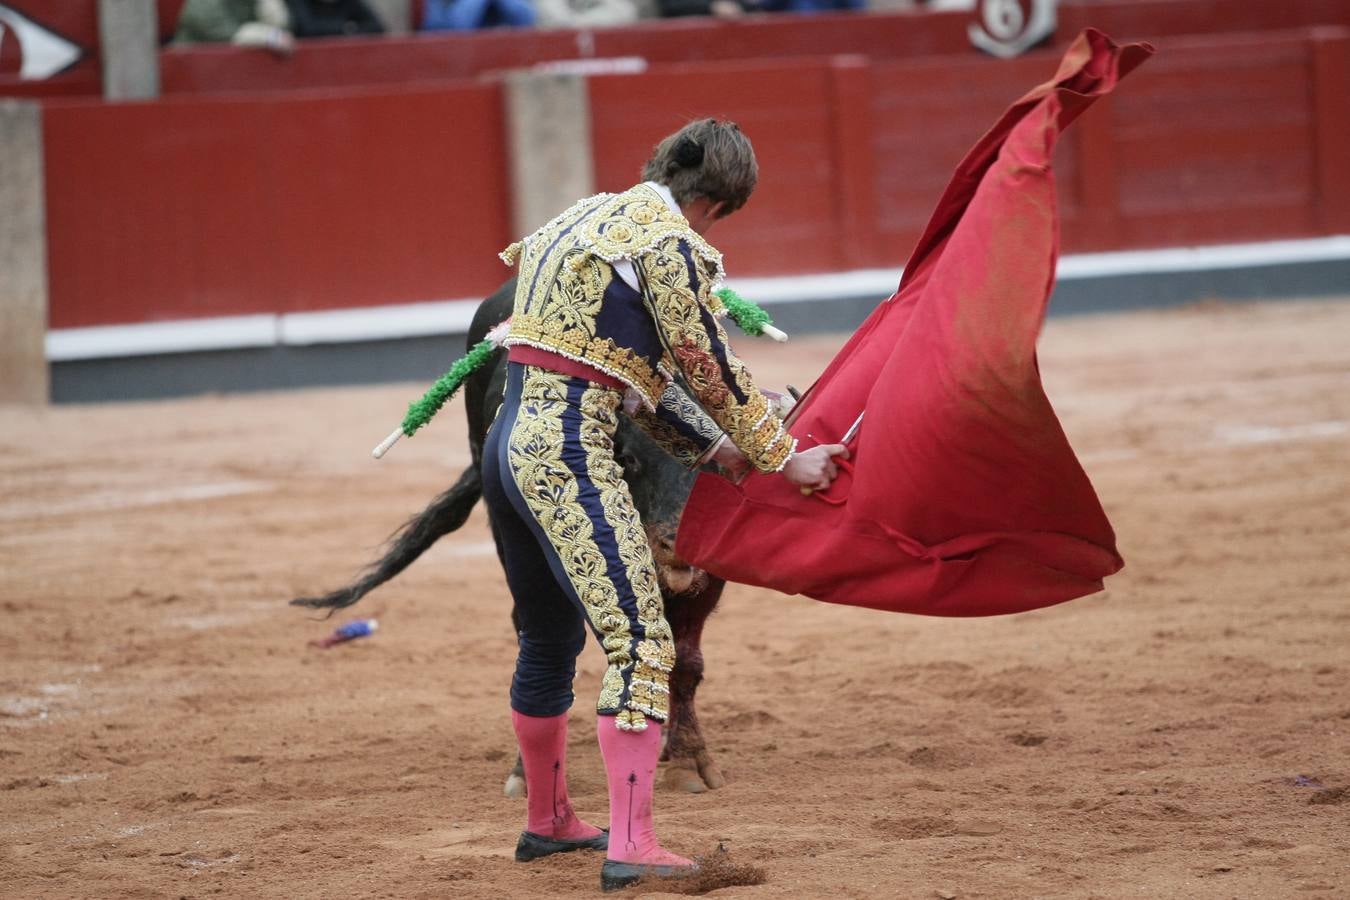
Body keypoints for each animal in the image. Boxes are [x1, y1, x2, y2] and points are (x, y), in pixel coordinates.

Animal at [287, 279, 729, 793]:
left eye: (713, 468)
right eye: (630, 459)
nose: (677, 545)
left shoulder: (709, 578)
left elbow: (688, 662)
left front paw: (687, 760)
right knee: (533, 636)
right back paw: (527, 771)